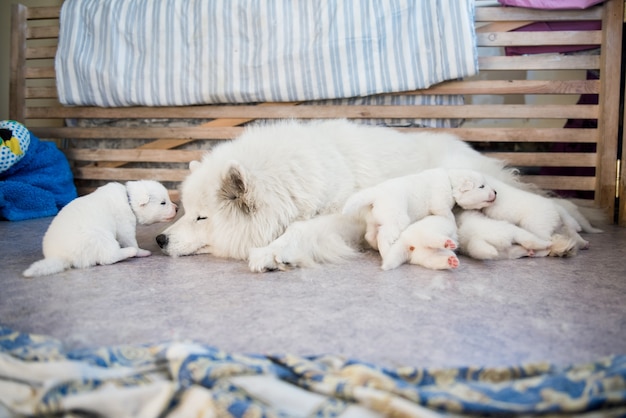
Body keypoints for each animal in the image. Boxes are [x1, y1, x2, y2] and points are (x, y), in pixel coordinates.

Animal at [23, 180, 177, 276]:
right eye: (163, 203)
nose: (176, 208)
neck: (128, 200)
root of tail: (60, 257)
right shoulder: (125, 227)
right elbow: (131, 240)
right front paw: (140, 251)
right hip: (100, 238)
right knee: (108, 257)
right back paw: (130, 252)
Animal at [338, 167, 494, 258]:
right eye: (481, 186)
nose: (496, 193)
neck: (450, 180)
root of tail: (375, 193)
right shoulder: (439, 203)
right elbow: (447, 214)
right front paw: (452, 222)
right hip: (396, 219)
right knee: (383, 236)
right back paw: (386, 252)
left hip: (373, 219)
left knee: (369, 235)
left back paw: (375, 247)